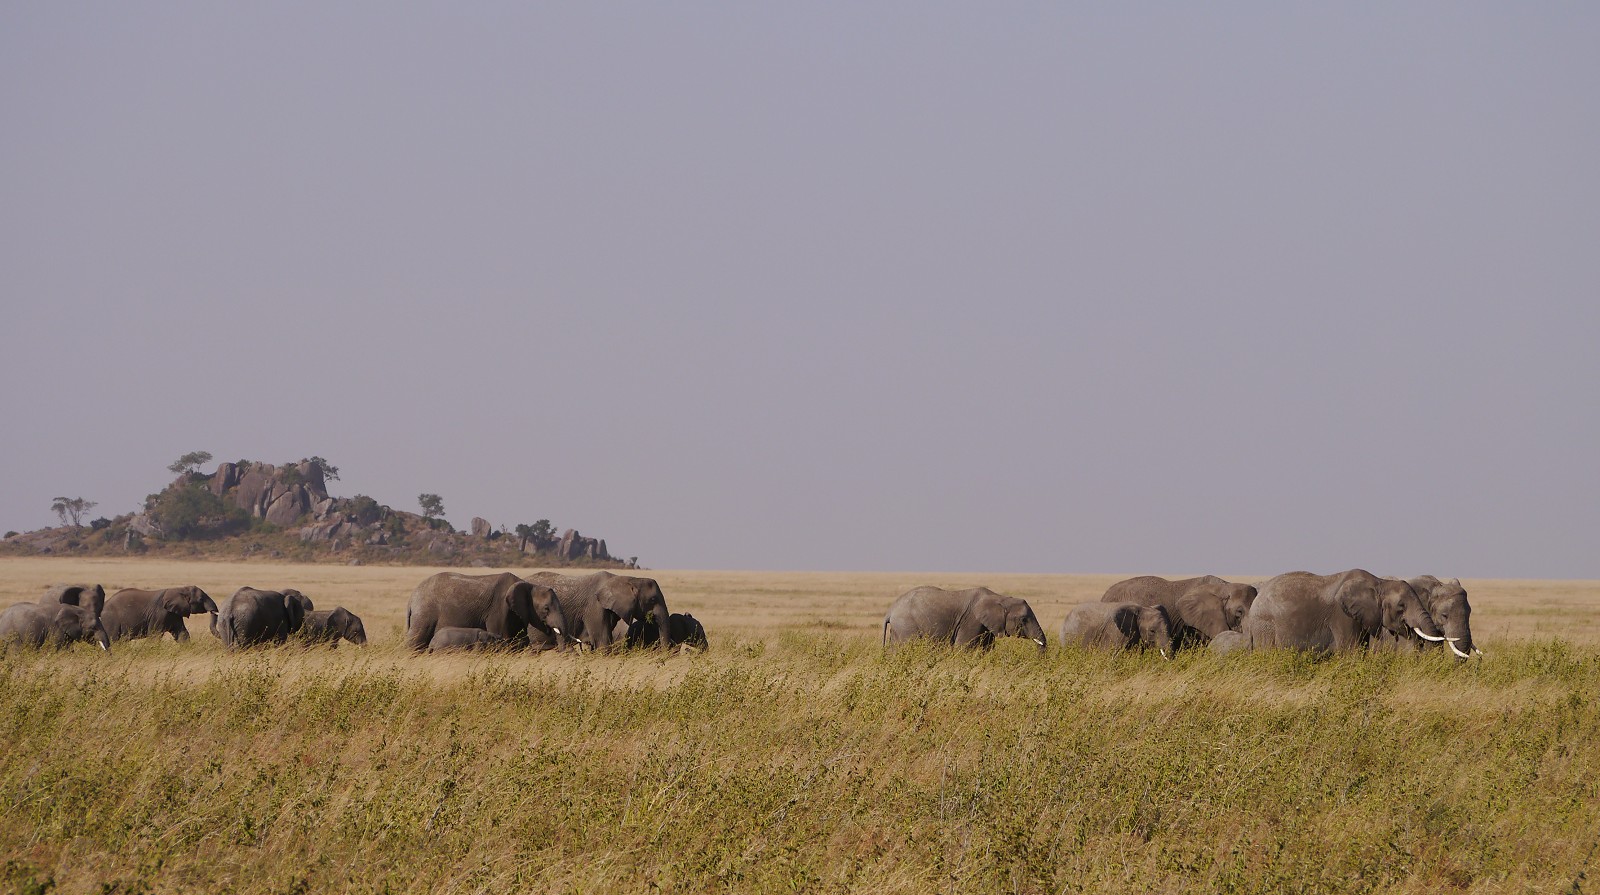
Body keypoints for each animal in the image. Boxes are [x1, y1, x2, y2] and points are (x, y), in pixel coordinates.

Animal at [403, 573, 566, 650]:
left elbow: (521, 641)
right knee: (415, 641)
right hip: (424, 615)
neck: (528, 584)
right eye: (546, 608)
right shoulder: (499, 609)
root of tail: (411, 598)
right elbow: (503, 636)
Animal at [876, 585, 1049, 646]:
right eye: (1024, 619)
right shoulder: (971, 622)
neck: (1000, 598)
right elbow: (964, 648)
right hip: (906, 625)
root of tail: (890, 611)